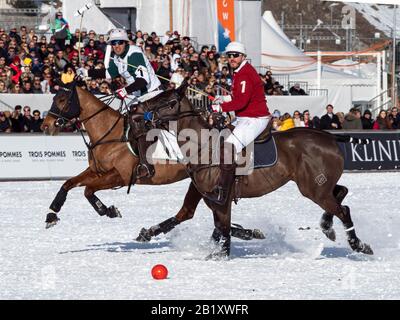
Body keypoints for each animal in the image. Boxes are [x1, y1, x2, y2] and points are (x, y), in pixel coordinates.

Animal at [39, 81, 260, 241]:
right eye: (54, 98)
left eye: (62, 100)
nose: (46, 125)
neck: (108, 134)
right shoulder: (97, 171)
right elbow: (68, 184)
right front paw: (52, 215)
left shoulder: (120, 176)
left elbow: (87, 190)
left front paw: (109, 210)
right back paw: (247, 232)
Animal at [130, 81, 374, 258]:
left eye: (168, 101)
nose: (137, 110)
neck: (203, 147)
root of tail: (331, 137)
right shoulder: (206, 195)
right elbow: (200, 220)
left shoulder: (221, 199)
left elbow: (222, 227)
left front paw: (222, 253)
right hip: (319, 185)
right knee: (341, 193)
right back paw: (328, 226)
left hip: (314, 189)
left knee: (343, 210)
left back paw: (358, 244)